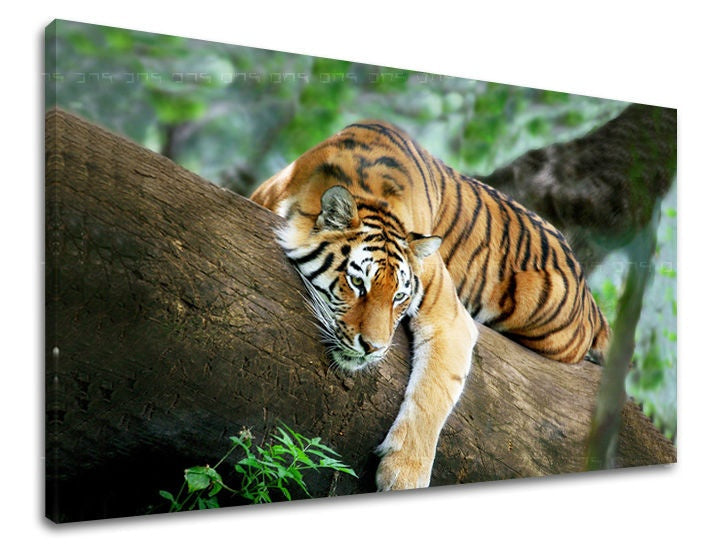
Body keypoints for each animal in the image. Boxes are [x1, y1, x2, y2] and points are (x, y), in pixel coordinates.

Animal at [250, 120, 610, 491]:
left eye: (399, 297)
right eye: (358, 283)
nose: (372, 348)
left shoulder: (450, 318)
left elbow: (432, 393)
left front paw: (404, 474)